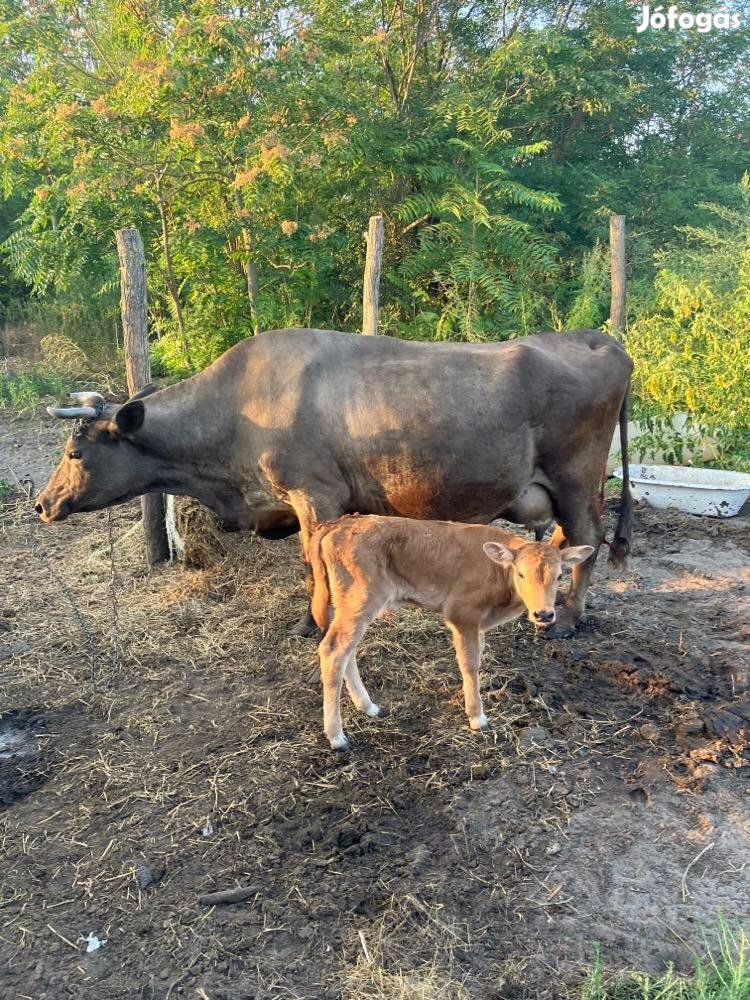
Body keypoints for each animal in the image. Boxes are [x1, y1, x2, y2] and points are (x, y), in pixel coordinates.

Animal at [36, 332, 636, 636]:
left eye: (74, 452)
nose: (41, 503)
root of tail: (597, 338)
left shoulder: (315, 496)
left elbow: (314, 564)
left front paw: (316, 622)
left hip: (575, 479)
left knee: (588, 539)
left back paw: (568, 619)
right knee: (567, 541)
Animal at [310, 520, 592, 748]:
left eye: (559, 575)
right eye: (521, 573)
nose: (543, 614)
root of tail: (339, 525)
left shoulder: (477, 624)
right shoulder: (462, 614)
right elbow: (470, 663)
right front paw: (477, 717)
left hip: (349, 605)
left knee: (346, 651)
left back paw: (367, 706)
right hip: (361, 600)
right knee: (334, 650)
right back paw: (336, 736)